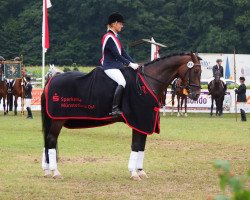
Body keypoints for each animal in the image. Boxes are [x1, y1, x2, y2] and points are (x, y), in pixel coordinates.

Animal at [40, 52, 201, 180]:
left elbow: (141, 146)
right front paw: (133, 173)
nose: (196, 95)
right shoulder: (139, 120)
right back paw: (55, 172)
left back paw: (47, 171)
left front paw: (140, 171)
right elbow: (136, 145)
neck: (148, 82)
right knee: (51, 140)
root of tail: (51, 80)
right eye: (196, 70)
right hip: (57, 120)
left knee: (47, 141)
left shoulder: (144, 122)